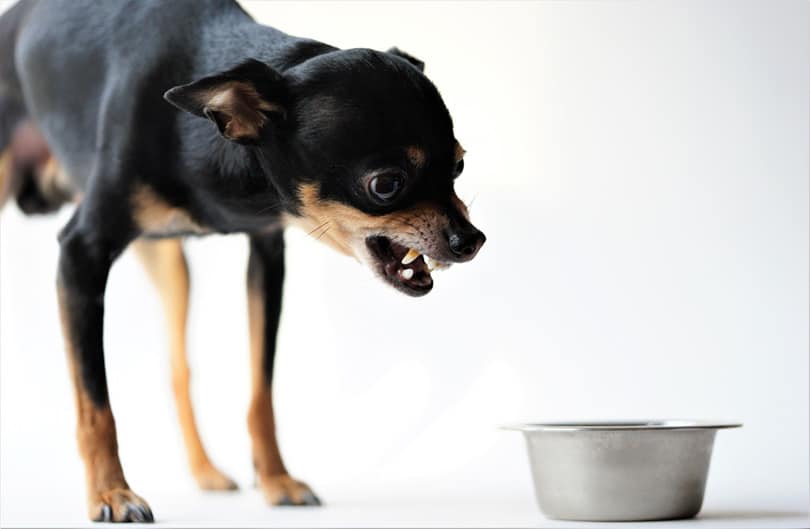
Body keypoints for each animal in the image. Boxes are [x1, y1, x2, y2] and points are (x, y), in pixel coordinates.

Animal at [0, 0, 482, 520]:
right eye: (386, 185)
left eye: (458, 166)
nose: (472, 240)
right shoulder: (80, 254)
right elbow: (94, 402)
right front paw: (111, 493)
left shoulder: (267, 255)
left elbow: (260, 391)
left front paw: (276, 480)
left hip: (170, 264)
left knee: (178, 368)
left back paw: (206, 471)